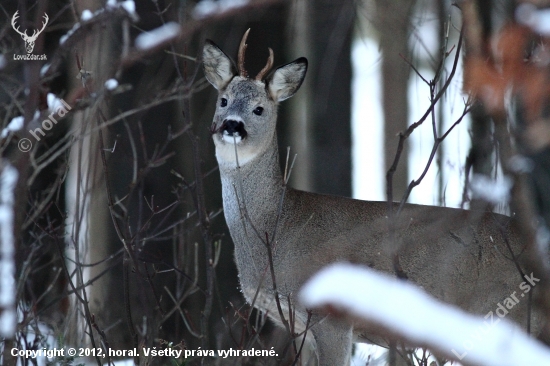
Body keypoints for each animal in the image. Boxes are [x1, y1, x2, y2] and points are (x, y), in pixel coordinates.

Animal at [205, 30, 544, 364]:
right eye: (223, 100)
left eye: (259, 109)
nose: (232, 125)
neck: (276, 225)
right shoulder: (298, 328)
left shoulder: (332, 318)